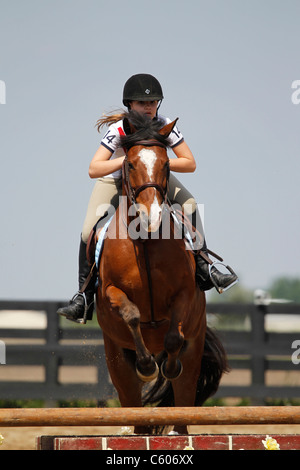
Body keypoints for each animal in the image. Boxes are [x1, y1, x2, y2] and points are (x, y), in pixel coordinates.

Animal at [95, 111, 227, 434]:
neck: (146, 240)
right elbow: (131, 314)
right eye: (130, 164)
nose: (151, 217)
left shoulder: (185, 294)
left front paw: (167, 366)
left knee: (183, 396)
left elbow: (172, 339)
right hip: (117, 359)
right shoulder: (111, 291)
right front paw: (147, 367)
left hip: (194, 351)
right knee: (132, 402)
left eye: (167, 164)